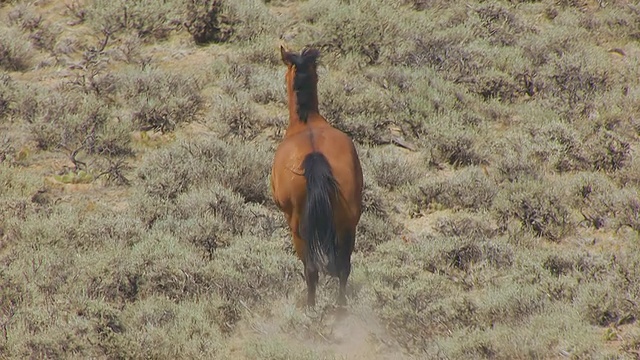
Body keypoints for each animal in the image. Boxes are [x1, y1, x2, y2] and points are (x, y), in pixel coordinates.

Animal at [268, 46, 362, 308]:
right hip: (348, 223)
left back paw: (310, 307)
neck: (306, 122)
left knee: (311, 270)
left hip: (298, 230)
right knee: (344, 268)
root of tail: (315, 156)